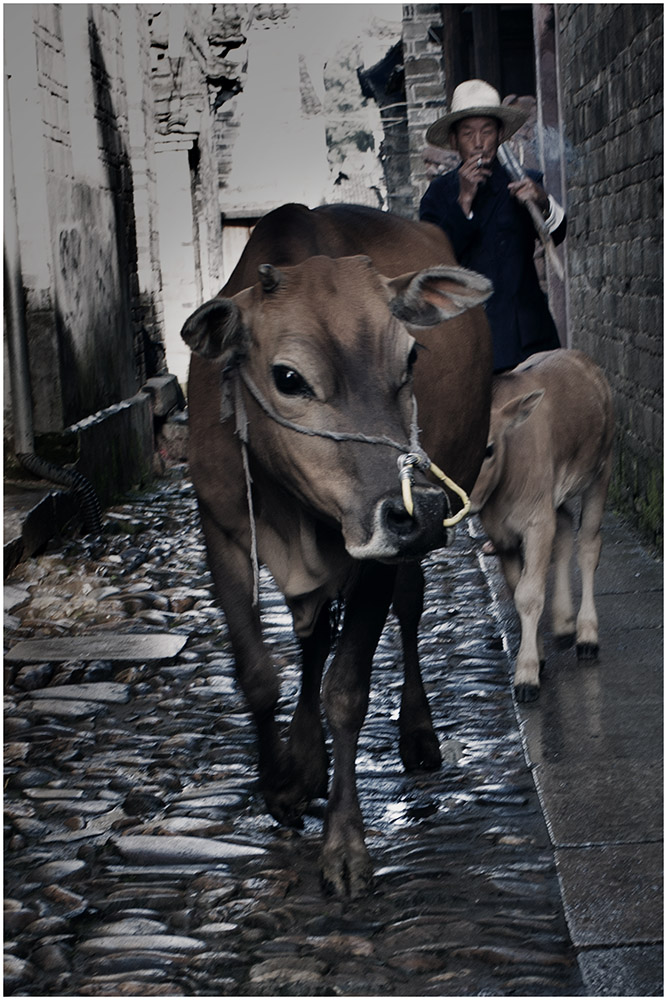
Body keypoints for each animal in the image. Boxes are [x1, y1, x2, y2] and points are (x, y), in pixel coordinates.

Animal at [180, 199, 494, 896]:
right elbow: (257, 673)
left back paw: (416, 732)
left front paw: (344, 846)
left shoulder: (374, 554)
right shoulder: (220, 527)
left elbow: (346, 691)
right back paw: (303, 762)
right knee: (313, 635)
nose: (421, 511)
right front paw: (279, 785)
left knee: (408, 609)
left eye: (411, 360)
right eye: (288, 377)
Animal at [470, 352, 616, 704]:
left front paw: (525, 674)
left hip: (601, 469)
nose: (466, 500)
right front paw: (536, 654)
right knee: (563, 532)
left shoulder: (536, 520)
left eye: (489, 449)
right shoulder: (502, 533)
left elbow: (529, 593)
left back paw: (586, 633)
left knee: (588, 545)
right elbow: (516, 587)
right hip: (556, 495)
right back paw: (563, 621)